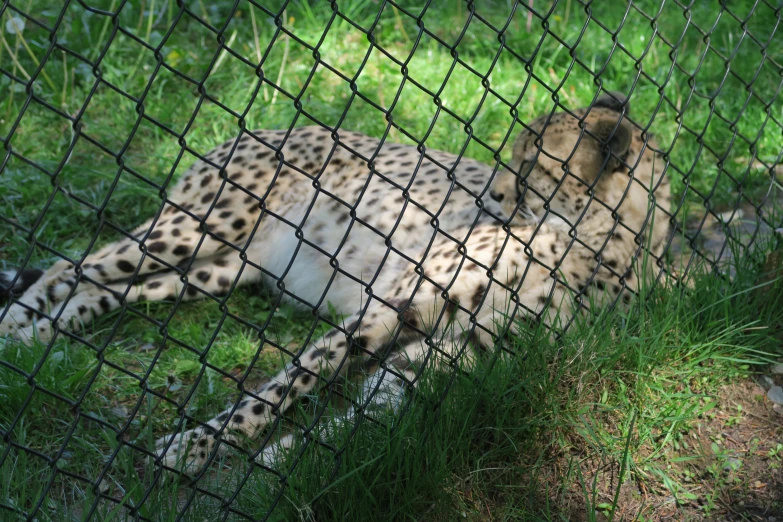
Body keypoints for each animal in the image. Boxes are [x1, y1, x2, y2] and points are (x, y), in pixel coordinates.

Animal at [0, 92, 672, 468]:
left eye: (531, 164)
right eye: (515, 157)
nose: (495, 194)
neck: (595, 242)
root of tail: (263, 126)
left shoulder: (470, 351)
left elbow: (364, 416)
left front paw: (281, 460)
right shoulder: (393, 304)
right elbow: (289, 385)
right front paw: (198, 447)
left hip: (218, 268)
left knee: (100, 288)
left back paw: (41, 336)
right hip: (197, 227)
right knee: (67, 266)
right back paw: (16, 332)